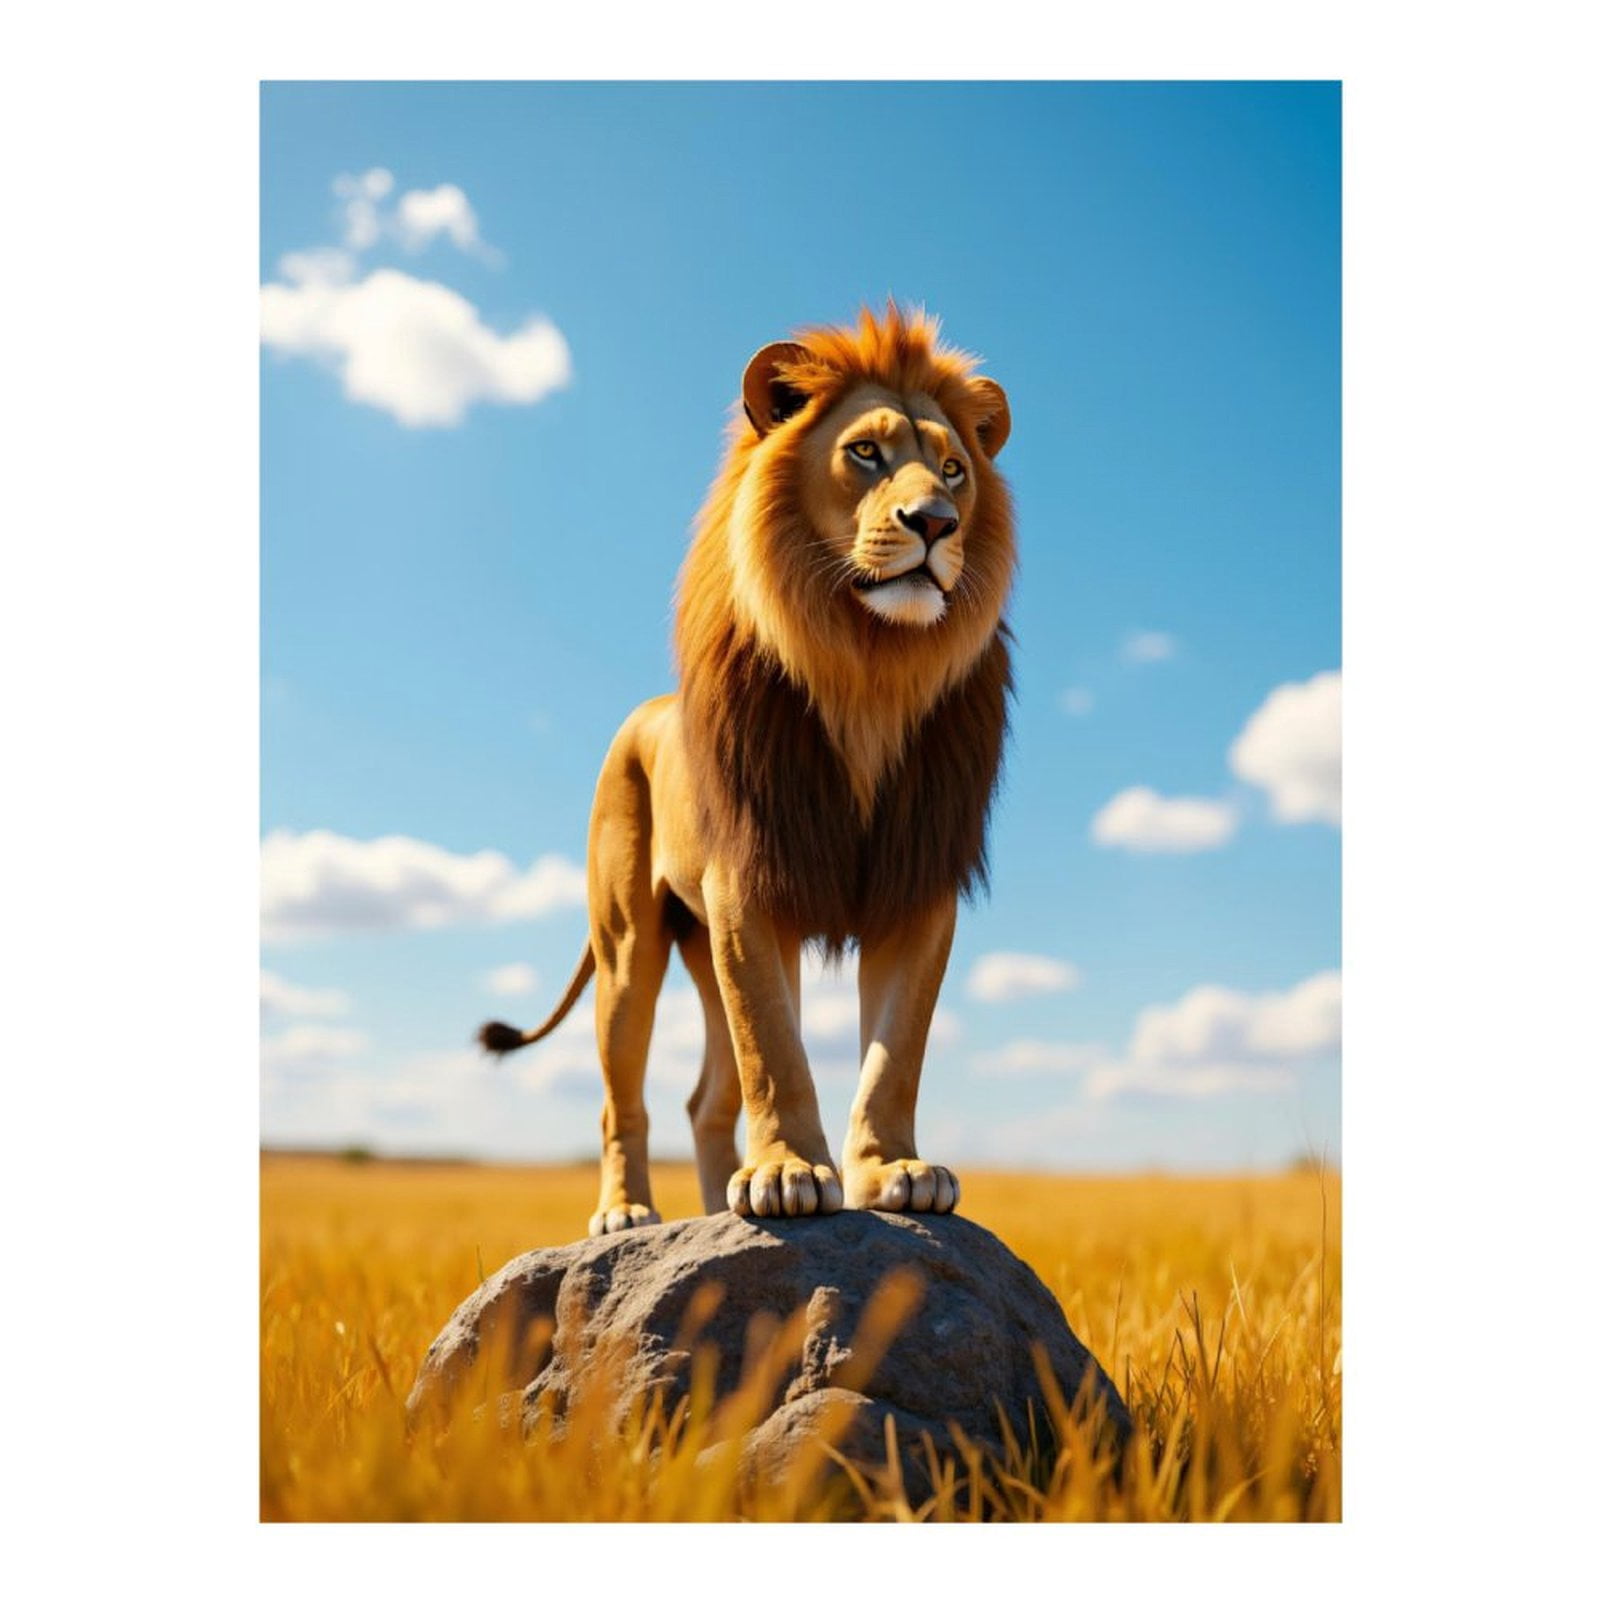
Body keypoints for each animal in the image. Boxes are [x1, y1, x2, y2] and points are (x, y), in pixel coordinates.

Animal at [481, 303, 1015, 1236]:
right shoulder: (749, 884)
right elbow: (776, 1048)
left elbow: (895, 1052)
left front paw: (893, 1170)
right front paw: (789, 1173)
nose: (937, 523)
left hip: (704, 950)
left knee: (706, 1101)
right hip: (630, 949)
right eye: (865, 452)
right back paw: (629, 1212)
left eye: (954, 468)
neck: (868, 675)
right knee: (623, 1095)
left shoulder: (919, 888)